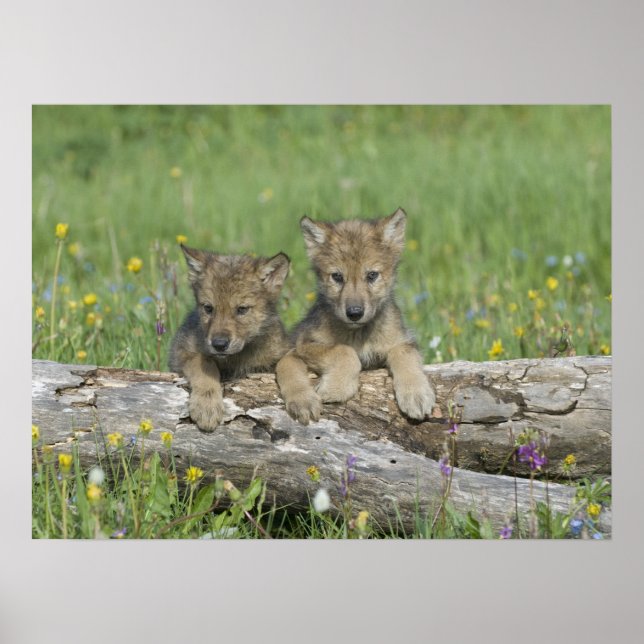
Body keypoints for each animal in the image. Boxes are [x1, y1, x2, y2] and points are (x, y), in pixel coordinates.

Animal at [169, 245, 291, 432]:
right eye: (208, 308)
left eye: (242, 309)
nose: (219, 344)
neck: (235, 359)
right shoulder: (181, 352)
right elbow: (204, 364)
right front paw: (207, 406)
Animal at [276, 208, 435, 424]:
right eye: (337, 277)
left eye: (372, 275)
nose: (354, 313)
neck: (359, 335)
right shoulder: (304, 344)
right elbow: (344, 350)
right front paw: (336, 387)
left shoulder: (402, 340)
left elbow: (404, 353)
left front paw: (416, 394)